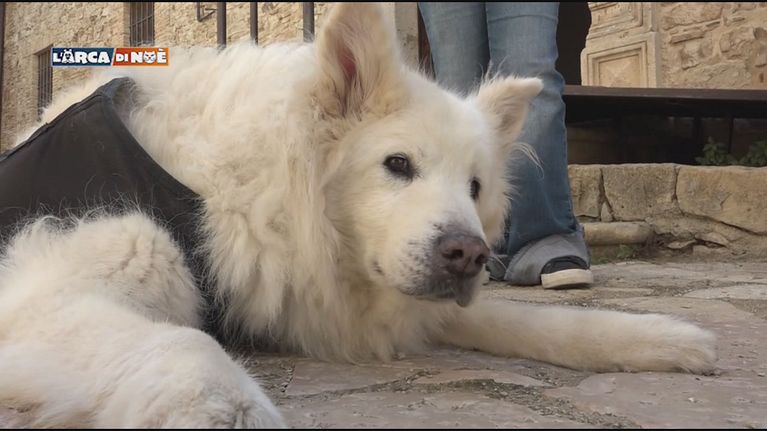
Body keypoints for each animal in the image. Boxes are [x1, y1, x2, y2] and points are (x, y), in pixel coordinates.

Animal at [0, 3, 716, 428]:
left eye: (475, 186)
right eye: (398, 164)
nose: (469, 255)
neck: (237, 187)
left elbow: (528, 320)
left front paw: (661, 338)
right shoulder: (51, 291)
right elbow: (188, 343)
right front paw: (229, 409)